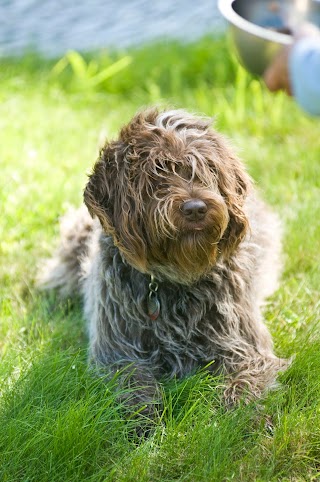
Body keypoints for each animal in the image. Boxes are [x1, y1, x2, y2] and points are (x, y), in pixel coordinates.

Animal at [38, 108, 288, 422]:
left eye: (206, 170)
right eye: (156, 176)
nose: (196, 209)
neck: (174, 281)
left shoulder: (246, 349)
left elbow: (242, 384)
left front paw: (239, 421)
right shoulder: (118, 354)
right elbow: (134, 387)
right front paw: (144, 423)